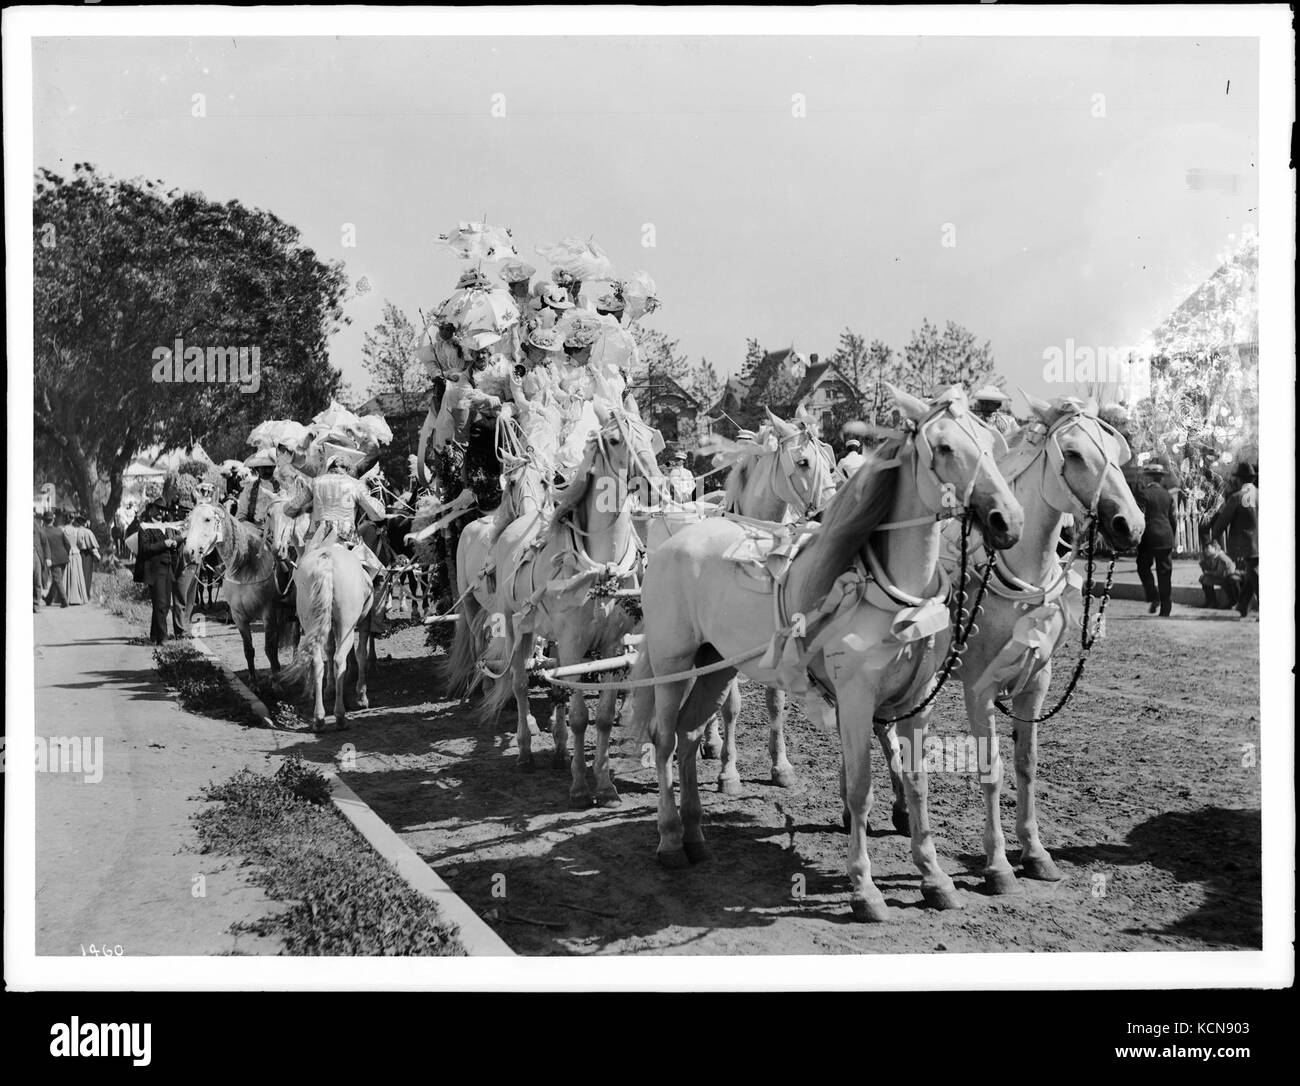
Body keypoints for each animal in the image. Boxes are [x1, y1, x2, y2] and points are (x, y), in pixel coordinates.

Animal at [182, 500, 284, 685]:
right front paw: (253, 682)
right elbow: (248, 649)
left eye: (207, 519)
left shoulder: (269, 613)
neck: (246, 567)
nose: (188, 552)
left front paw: (276, 682)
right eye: (188, 520)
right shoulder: (239, 616)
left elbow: (270, 649)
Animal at [630, 385, 1024, 921]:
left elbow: (918, 783)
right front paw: (865, 889)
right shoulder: (855, 702)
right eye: (943, 447)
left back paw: (695, 837)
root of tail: (679, 539)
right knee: (666, 739)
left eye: (990, 443)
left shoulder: (917, 703)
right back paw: (670, 840)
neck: (892, 594)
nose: (1009, 521)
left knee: (690, 736)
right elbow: (860, 789)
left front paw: (935, 877)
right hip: (673, 663)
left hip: (716, 665)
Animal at [945, 394, 1143, 895]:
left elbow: (1027, 764)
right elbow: (991, 769)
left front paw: (1035, 854)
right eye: (1072, 453)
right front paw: (997, 865)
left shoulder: (1036, 682)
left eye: (1117, 451)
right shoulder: (978, 689)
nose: (1131, 526)